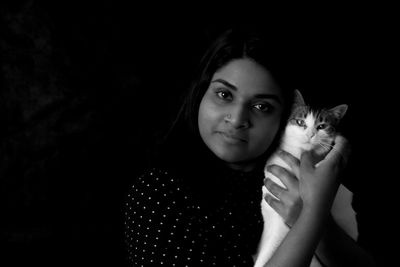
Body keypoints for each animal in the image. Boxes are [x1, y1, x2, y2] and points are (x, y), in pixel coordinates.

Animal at [253, 90, 356, 267]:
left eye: (322, 126)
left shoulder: (281, 226)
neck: (298, 156)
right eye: (300, 122)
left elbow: (266, 254)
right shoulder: (269, 214)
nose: (310, 134)